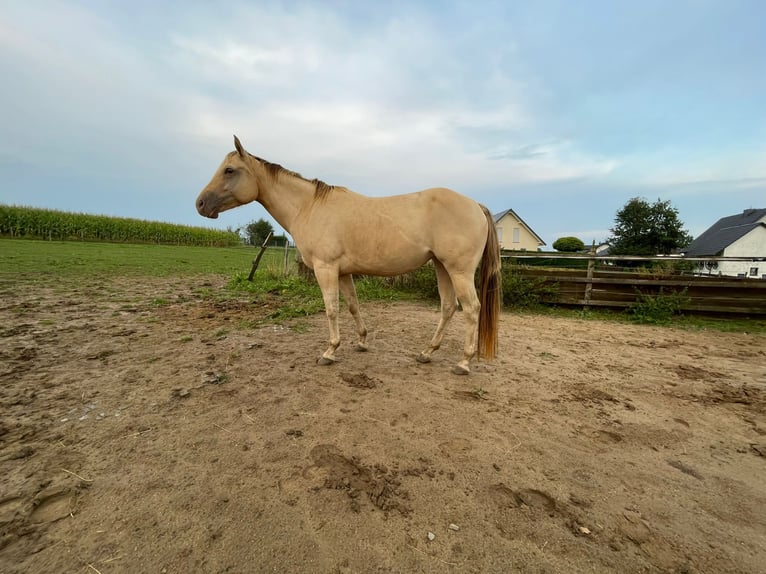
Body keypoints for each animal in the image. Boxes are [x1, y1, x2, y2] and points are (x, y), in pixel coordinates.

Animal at [195, 137, 500, 376]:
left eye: (229, 170)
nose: (200, 204)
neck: (308, 206)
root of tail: (476, 204)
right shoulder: (343, 272)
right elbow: (353, 305)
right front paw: (362, 342)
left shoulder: (326, 269)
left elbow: (332, 309)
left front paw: (329, 352)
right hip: (442, 267)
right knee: (449, 307)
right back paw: (427, 352)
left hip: (459, 271)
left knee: (471, 308)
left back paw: (463, 363)